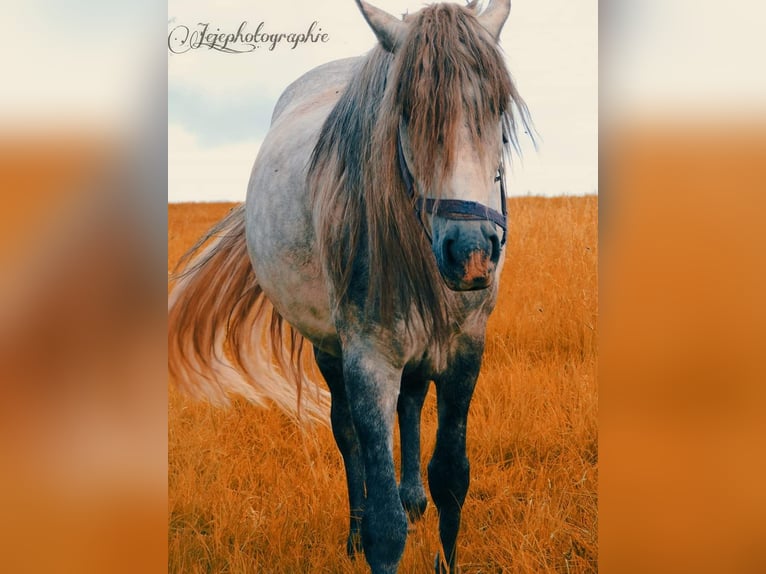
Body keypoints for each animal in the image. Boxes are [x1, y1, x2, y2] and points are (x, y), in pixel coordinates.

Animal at [168, 1, 533, 572]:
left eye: (498, 108)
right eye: (406, 112)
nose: (471, 253)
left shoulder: (465, 349)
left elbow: (452, 477)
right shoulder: (368, 355)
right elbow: (385, 520)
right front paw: (371, 534)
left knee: (410, 403)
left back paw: (413, 498)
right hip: (328, 347)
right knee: (348, 434)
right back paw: (354, 532)